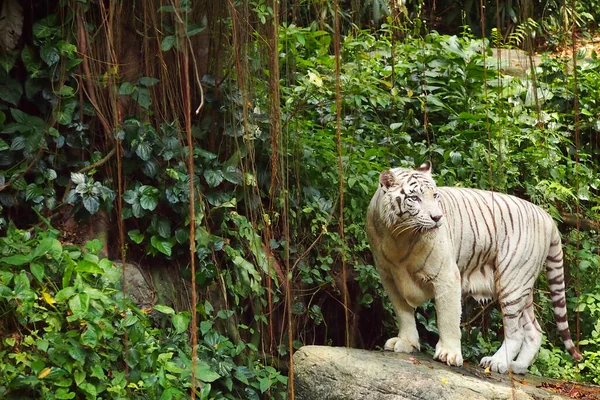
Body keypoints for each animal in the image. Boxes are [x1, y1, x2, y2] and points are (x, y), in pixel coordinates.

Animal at [366, 161, 580, 374]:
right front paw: (406, 342)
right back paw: (517, 366)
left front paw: (448, 353)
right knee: (533, 329)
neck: (399, 236)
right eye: (414, 198)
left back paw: (497, 362)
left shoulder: (447, 276)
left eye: (435, 196)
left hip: (512, 280)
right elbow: (403, 312)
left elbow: (448, 318)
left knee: (516, 331)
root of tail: (547, 217)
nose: (437, 217)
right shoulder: (389, 277)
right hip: (522, 286)